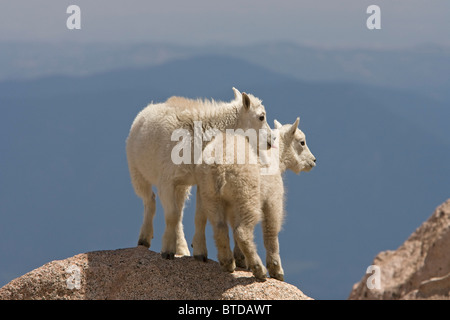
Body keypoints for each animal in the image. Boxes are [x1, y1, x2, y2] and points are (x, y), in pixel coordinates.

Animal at [125, 87, 270, 260]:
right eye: (261, 117)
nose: (271, 140)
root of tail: (145, 111)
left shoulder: (202, 182)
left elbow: (200, 216)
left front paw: (200, 253)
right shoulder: (166, 180)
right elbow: (171, 215)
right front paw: (167, 251)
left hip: (182, 185)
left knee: (179, 212)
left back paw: (182, 248)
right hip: (136, 171)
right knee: (150, 200)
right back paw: (144, 239)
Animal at [192, 117, 316, 280]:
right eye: (302, 142)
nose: (313, 161)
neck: (277, 156)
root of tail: (219, 164)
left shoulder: (231, 203)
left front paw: (241, 260)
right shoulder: (273, 196)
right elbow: (271, 230)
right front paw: (276, 270)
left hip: (211, 193)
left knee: (220, 227)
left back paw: (227, 263)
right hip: (246, 193)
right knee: (242, 231)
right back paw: (259, 269)